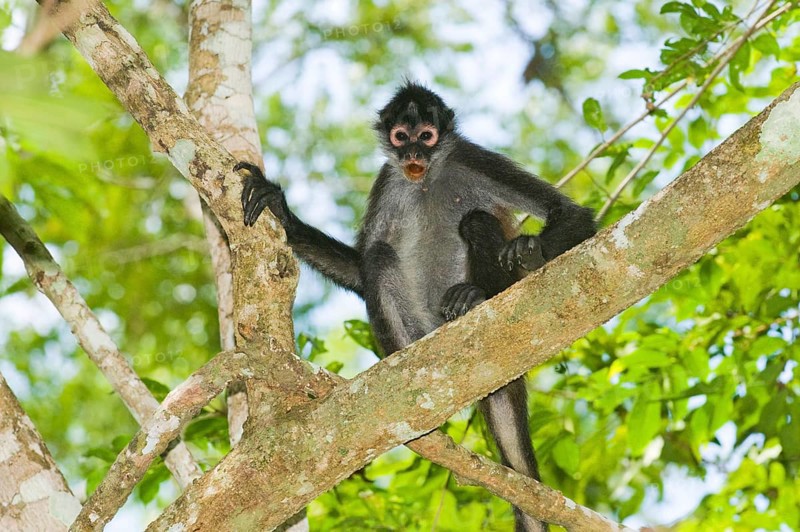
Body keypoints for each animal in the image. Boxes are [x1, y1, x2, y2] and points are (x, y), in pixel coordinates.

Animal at [237, 81, 596, 531]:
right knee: (379, 258)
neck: (425, 179)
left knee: (476, 220)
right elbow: (362, 267)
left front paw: (528, 253)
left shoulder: (470, 156)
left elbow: (574, 215)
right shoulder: (389, 179)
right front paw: (283, 213)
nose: (413, 155)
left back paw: (483, 294)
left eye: (426, 136)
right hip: (420, 329)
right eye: (400, 137)